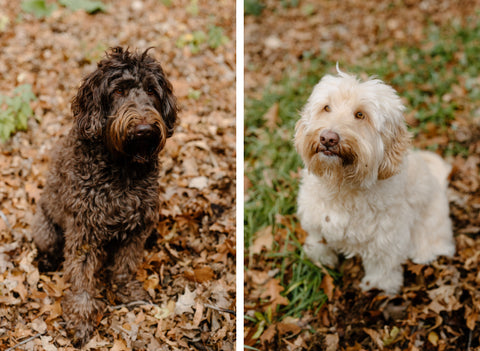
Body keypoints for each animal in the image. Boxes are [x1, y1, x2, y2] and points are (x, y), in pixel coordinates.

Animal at [294, 68, 456, 294]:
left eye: (360, 114)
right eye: (326, 108)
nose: (328, 138)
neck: (342, 184)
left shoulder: (385, 239)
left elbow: (382, 266)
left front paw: (378, 287)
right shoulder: (316, 221)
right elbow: (318, 242)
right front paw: (322, 260)